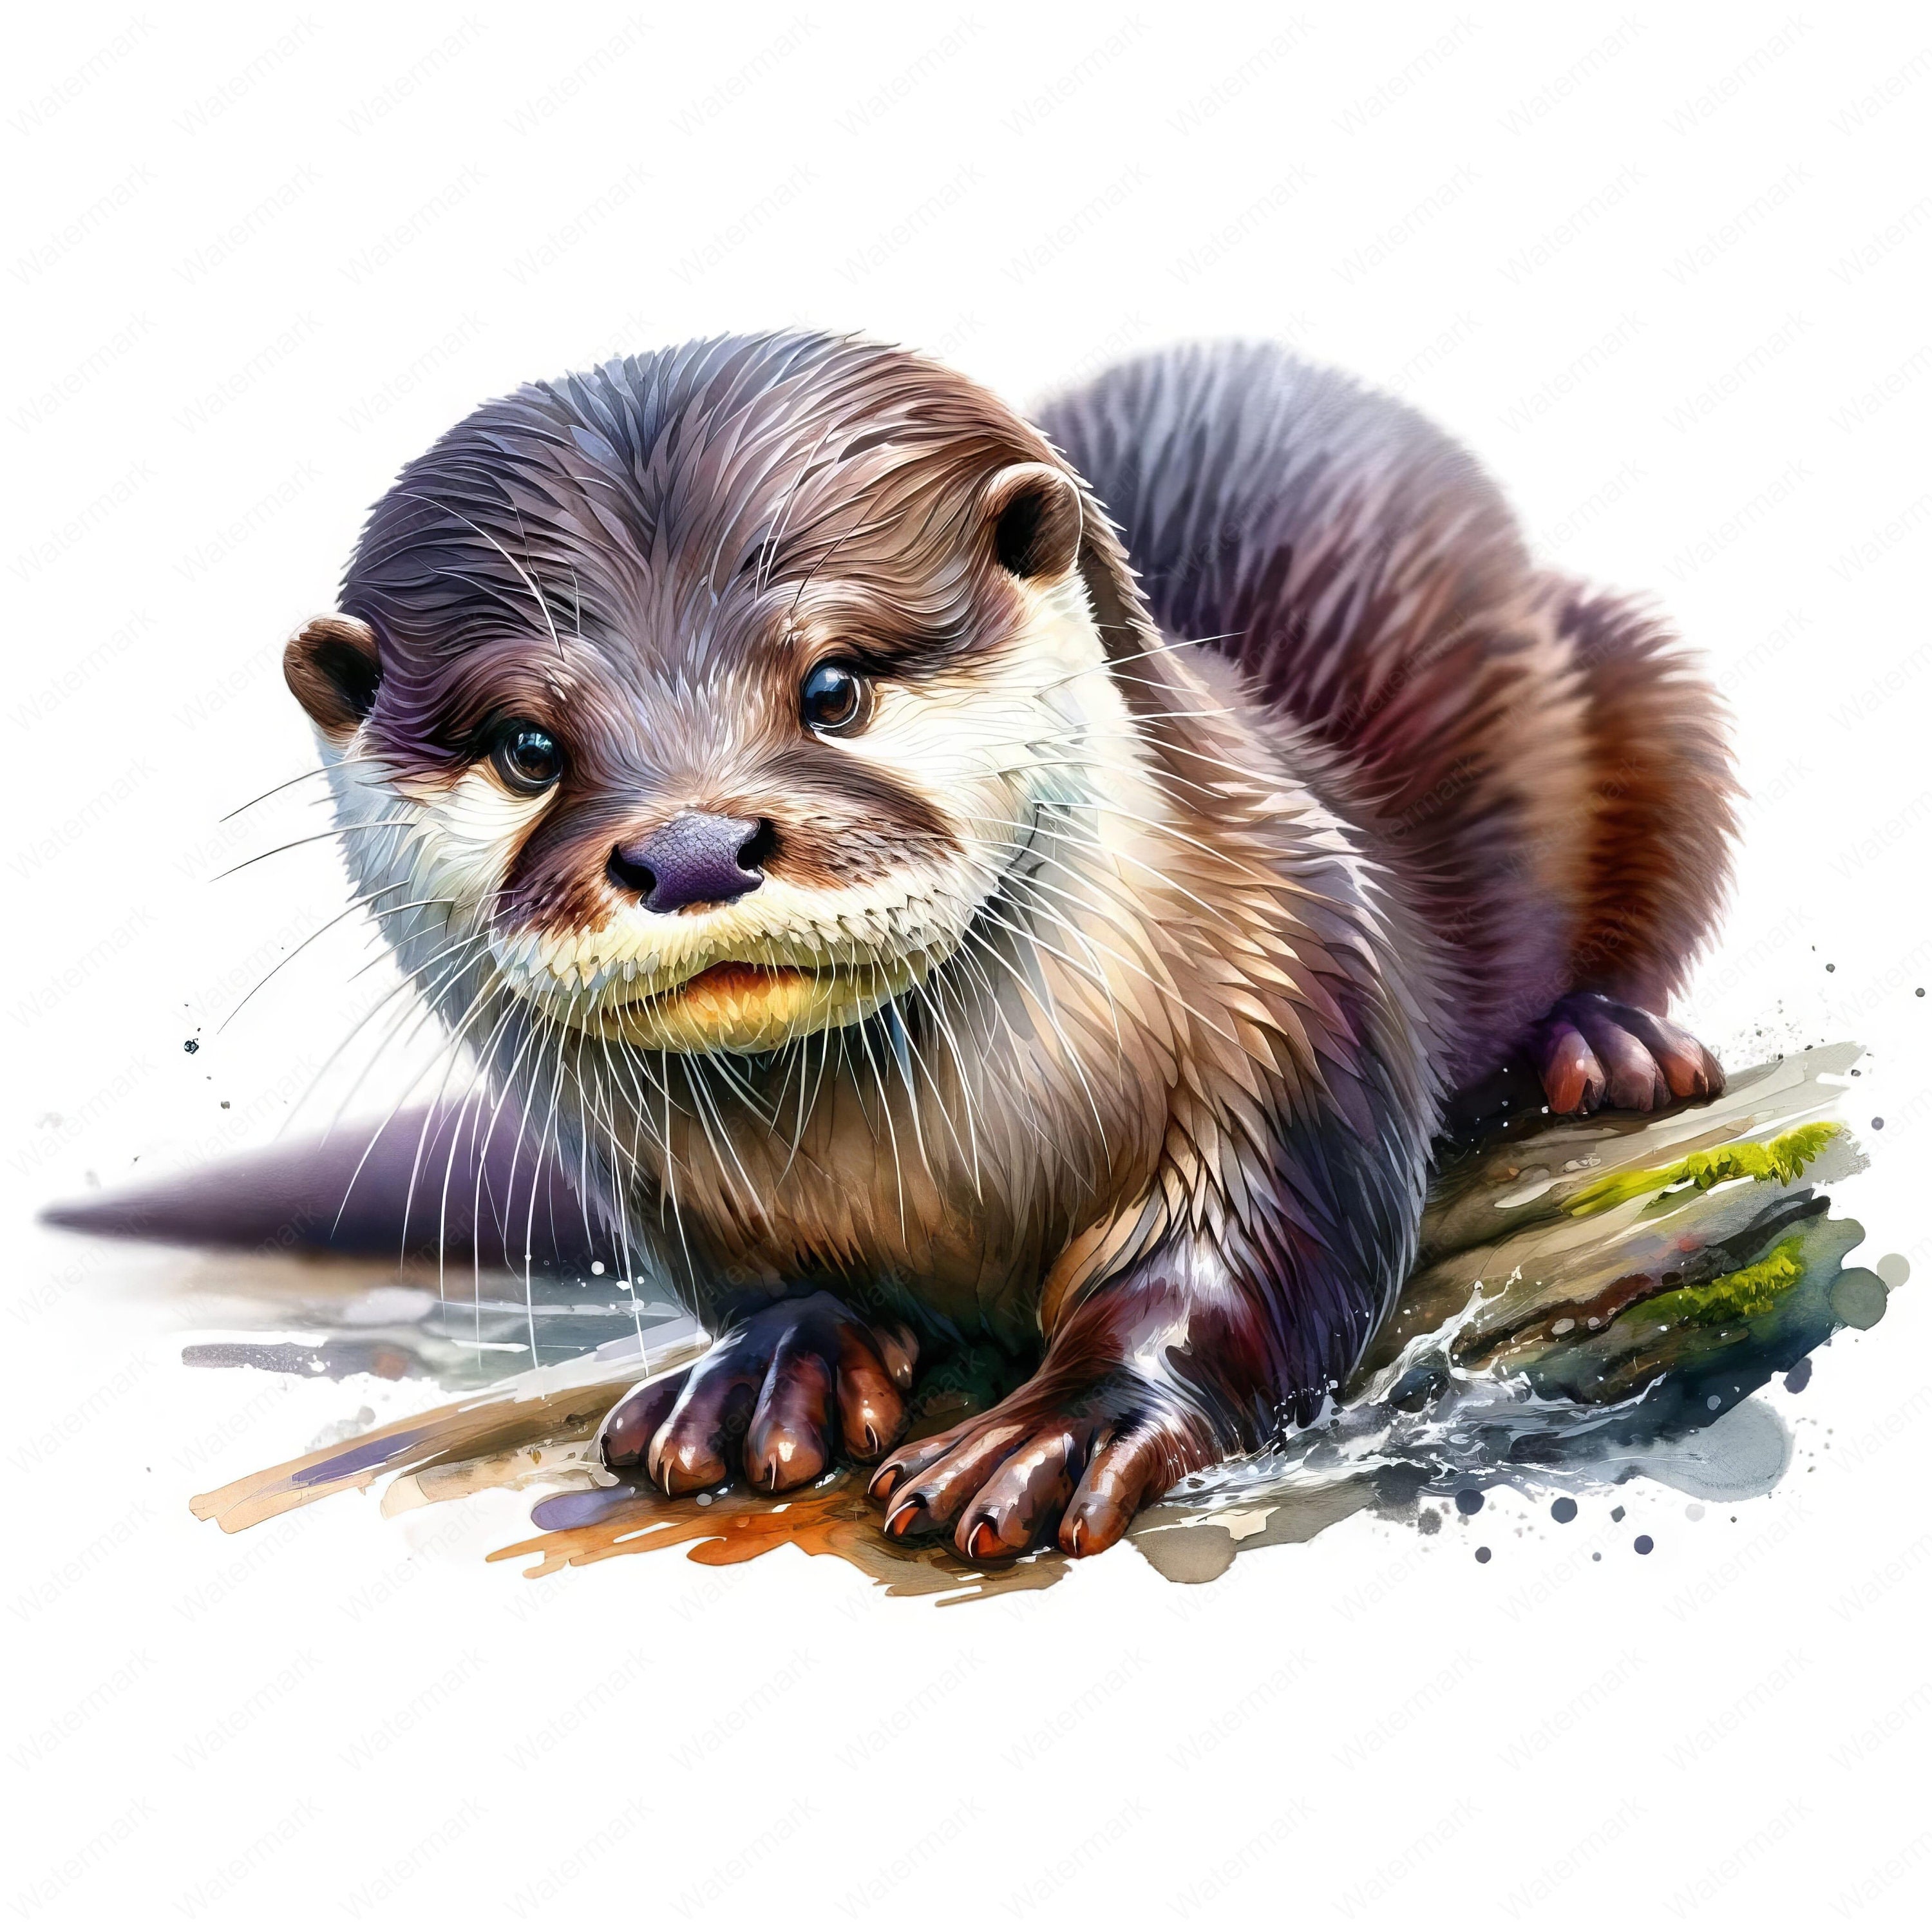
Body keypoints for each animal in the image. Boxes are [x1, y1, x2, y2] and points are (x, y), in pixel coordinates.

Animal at [272, 332, 1733, 1562]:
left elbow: (1261, 1249)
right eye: (527, 747)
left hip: (1641, 684)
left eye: (834, 685)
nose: (690, 850)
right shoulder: (651, 1171)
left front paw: (1067, 1423)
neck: (943, 1174)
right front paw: (766, 1372)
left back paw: (1605, 1047)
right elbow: (759, 1284)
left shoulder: (1294, 971)